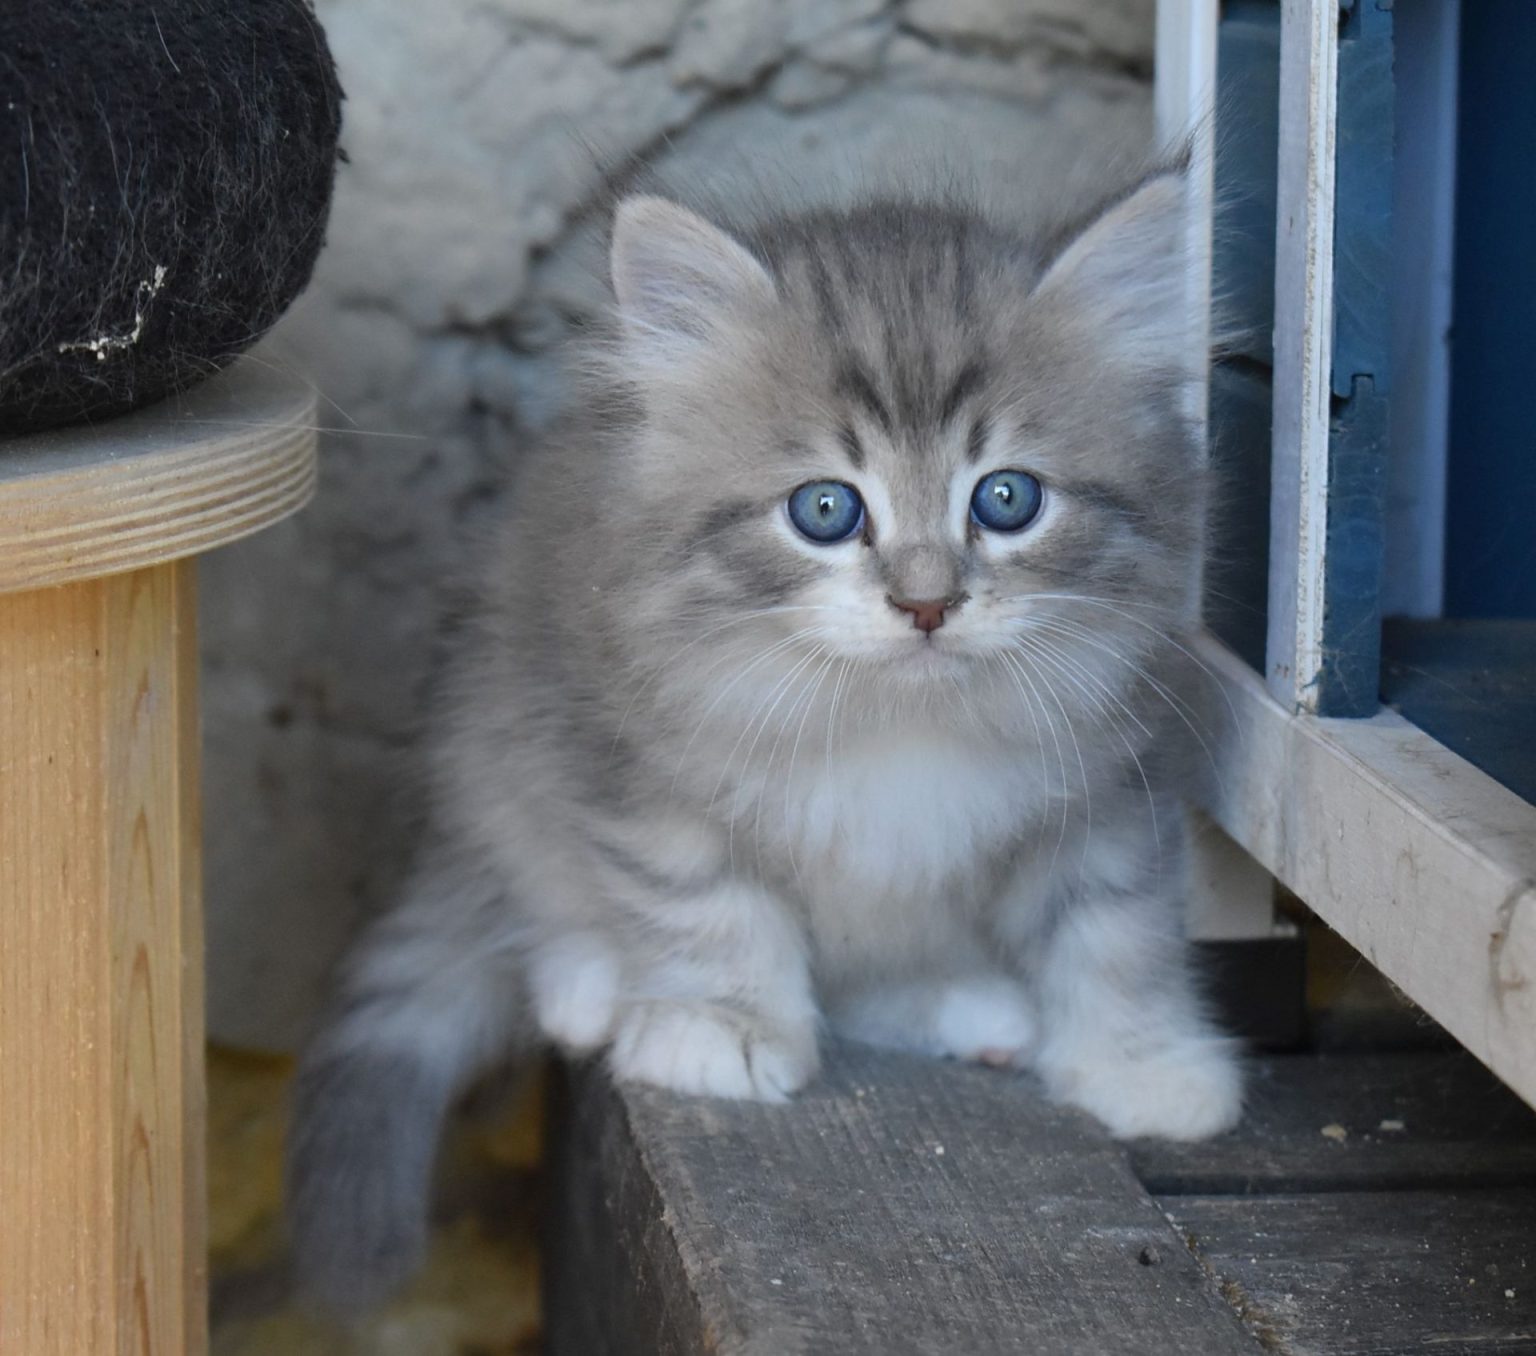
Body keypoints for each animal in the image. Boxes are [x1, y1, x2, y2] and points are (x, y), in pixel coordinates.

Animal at [290, 162, 1247, 1314]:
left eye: (1007, 498)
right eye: (826, 509)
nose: (926, 604)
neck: (897, 723)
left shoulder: (1114, 773)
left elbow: (1115, 927)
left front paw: (1143, 1063)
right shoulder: (638, 766)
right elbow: (707, 904)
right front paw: (723, 1029)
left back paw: (973, 1009)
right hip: (494, 735)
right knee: (530, 884)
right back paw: (591, 985)